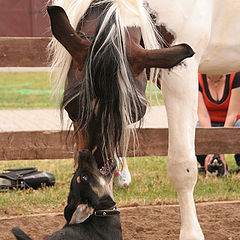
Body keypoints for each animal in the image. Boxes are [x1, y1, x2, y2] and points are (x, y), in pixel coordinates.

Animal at [47, 0, 240, 240]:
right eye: (71, 105)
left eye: (135, 111)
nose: (94, 168)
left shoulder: (180, 71)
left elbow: (182, 166)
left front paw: (191, 233)